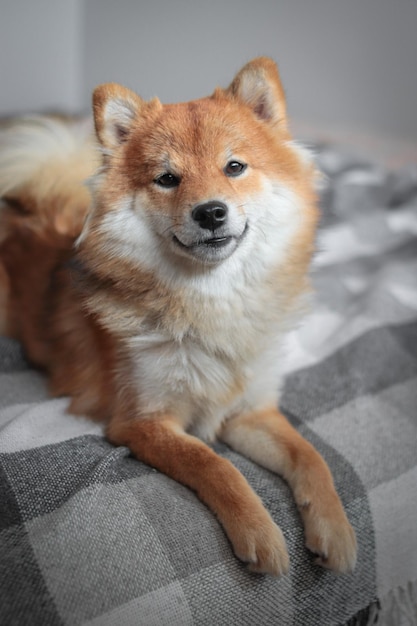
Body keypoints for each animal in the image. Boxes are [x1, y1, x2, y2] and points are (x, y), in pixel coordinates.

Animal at [0, 58, 358, 576]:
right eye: (168, 178)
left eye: (234, 167)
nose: (210, 212)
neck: (211, 304)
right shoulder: (142, 421)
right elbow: (215, 465)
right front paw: (259, 531)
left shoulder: (250, 410)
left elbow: (310, 457)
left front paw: (333, 527)